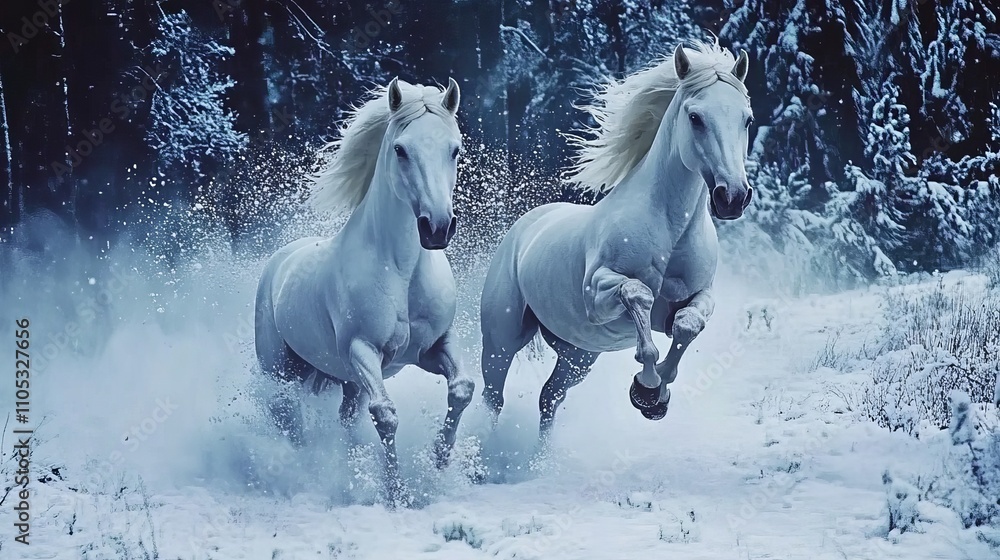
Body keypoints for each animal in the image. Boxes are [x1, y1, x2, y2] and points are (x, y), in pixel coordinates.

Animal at [254, 77, 474, 505]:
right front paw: (395, 492)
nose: (437, 228)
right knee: (288, 419)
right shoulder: (362, 351)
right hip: (283, 373)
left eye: (454, 149)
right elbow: (385, 415)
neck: (402, 272)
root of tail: (279, 262)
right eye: (400, 149)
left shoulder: (435, 346)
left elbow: (462, 389)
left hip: (345, 382)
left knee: (344, 418)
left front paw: (439, 462)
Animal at [479, 40, 754, 440]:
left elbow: (687, 324)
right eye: (695, 117)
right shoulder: (596, 293)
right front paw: (646, 389)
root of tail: (527, 225)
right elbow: (638, 295)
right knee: (491, 398)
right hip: (501, 339)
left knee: (549, 398)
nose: (732, 196)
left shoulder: (700, 297)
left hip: (578, 354)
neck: (670, 229)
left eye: (746, 119)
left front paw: (656, 395)